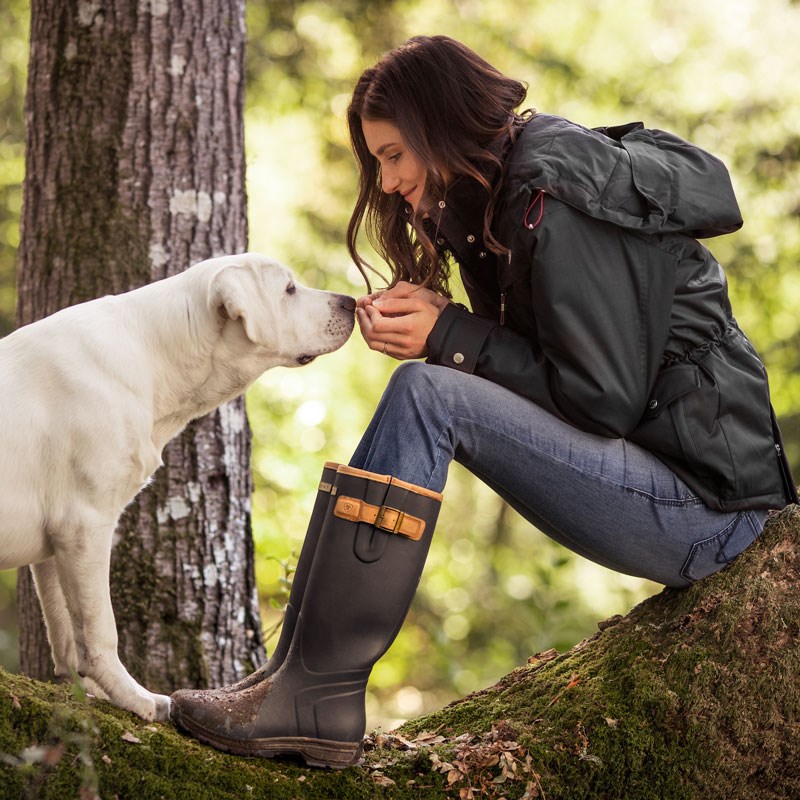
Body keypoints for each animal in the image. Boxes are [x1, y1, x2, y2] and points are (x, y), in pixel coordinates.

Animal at [0, 253, 354, 720]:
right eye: (289, 289)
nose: (352, 302)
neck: (152, 356)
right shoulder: (84, 526)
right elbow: (100, 631)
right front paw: (134, 698)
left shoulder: (55, 546)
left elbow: (68, 637)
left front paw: (95, 693)